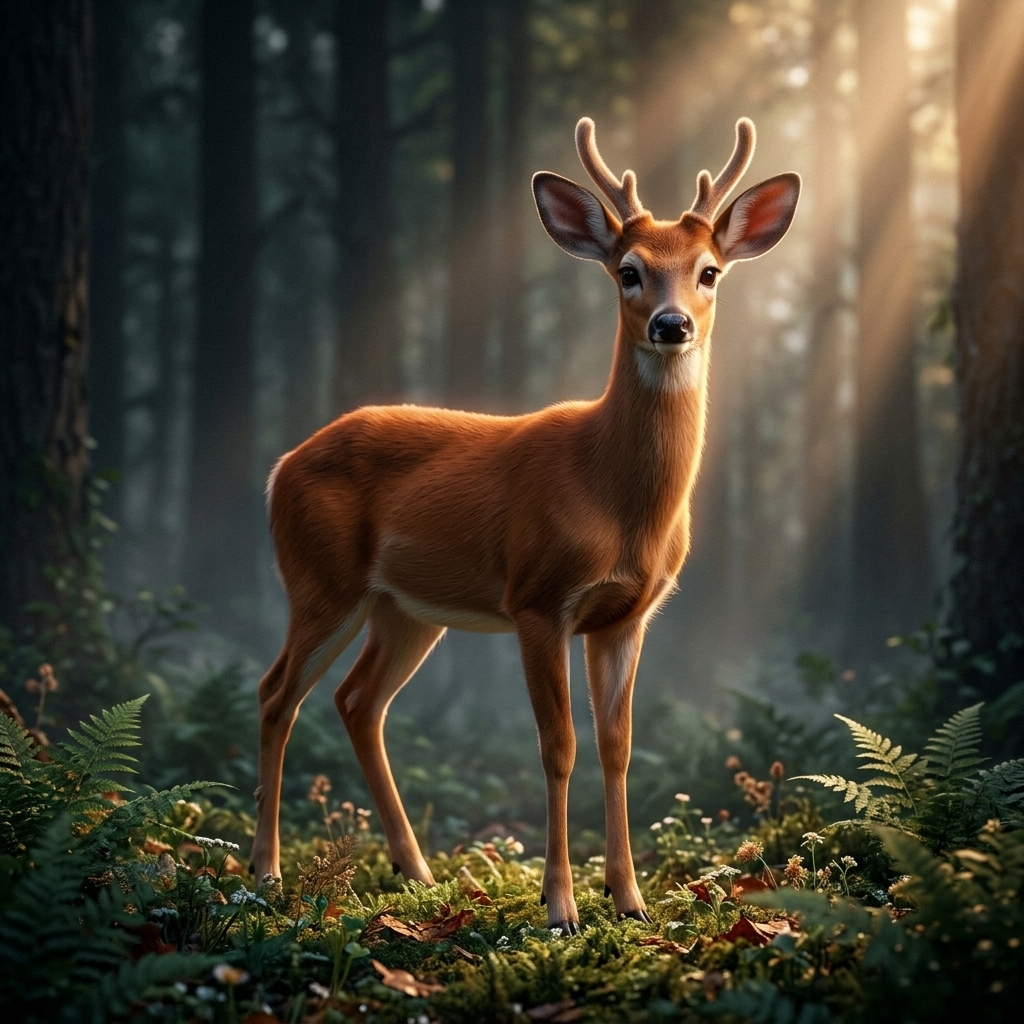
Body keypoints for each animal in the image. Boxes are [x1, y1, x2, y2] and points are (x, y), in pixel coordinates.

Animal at [250, 115, 800, 934]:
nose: (671, 325)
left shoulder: (626, 615)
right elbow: (558, 746)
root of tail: (281, 465)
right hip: (321, 578)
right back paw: (265, 873)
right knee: (276, 693)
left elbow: (617, 745)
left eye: (709, 272)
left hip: (405, 607)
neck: (614, 497)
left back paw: (417, 873)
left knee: (357, 700)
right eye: (628, 271)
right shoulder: (538, 598)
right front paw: (560, 906)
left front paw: (631, 900)